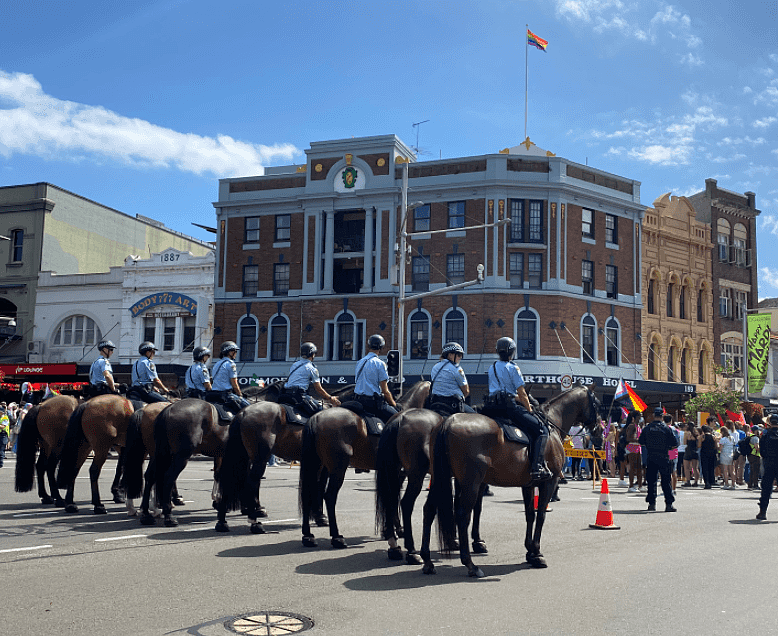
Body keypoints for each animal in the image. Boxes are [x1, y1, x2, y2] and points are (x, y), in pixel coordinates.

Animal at [298, 380, 430, 548]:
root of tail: (316, 417)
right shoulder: (398, 471)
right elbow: (393, 497)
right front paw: (396, 530)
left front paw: (388, 530)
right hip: (338, 468)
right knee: (329, 496)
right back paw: (337, 537)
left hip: (317, 466)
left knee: (308, 493)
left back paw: (308, 536)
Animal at [422, 386, 596, 580]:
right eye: (596, 402)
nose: (597, 428)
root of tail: (449, 421)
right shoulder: (549, 482)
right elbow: (541, 515)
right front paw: (537, 552)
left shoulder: (528, 484)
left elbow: (530, 514)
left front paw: (530, 552)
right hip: (470, 482)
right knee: (462, 515)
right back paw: (470, 565)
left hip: (440, 478)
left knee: (429, 510)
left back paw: (427, 561)